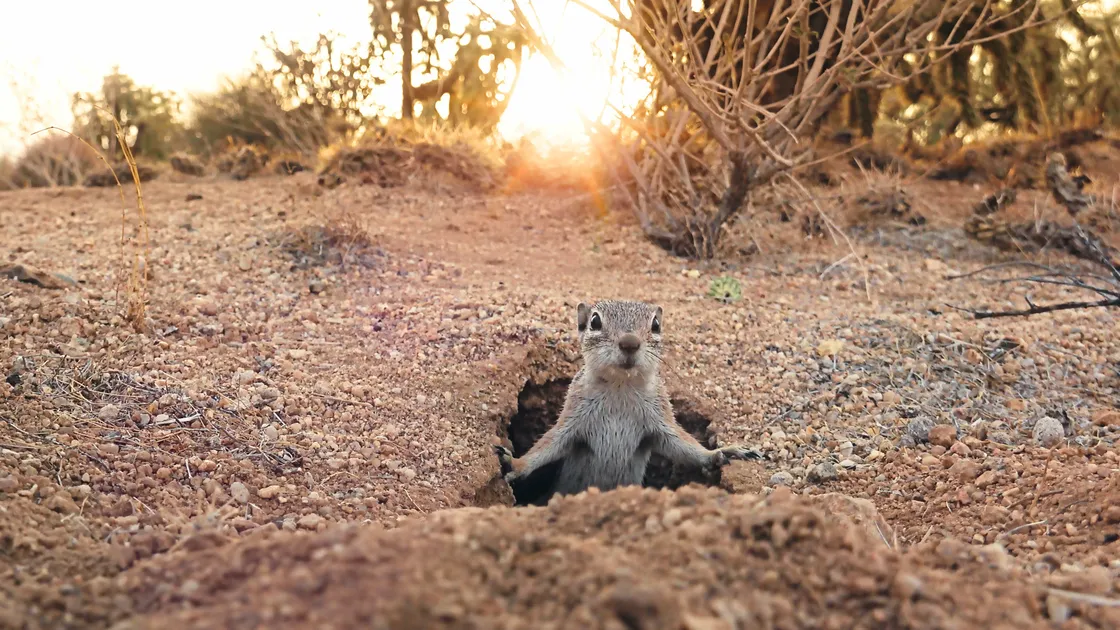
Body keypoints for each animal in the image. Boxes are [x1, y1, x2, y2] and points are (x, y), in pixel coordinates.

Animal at [496, 299, 761, 501]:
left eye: (655, 324)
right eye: (595, 321)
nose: (630, 343)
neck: (620, 387)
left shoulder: (660, 421)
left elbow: (683, 444)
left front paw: (721, 452)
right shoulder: (572, 418)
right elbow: (548, 444)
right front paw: (515, 464)